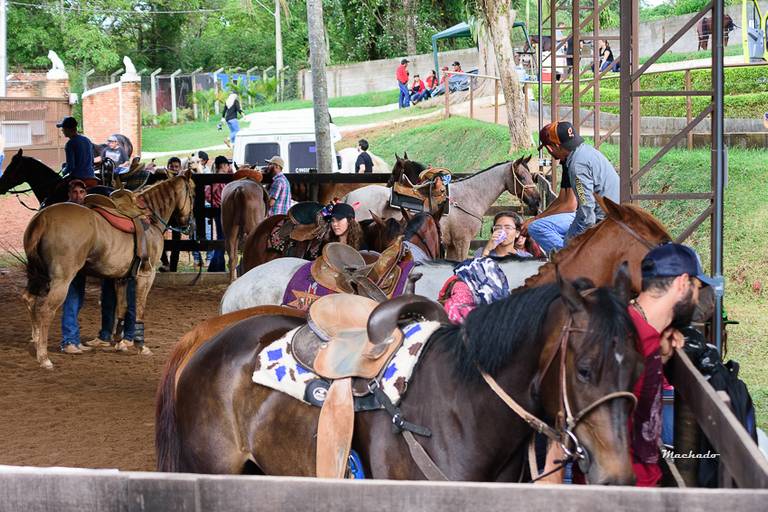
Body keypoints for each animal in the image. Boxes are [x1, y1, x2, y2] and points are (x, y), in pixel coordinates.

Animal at [22, 173, 195, 369]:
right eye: (193, 193)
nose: (189, 224)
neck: (151, 220)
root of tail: (42, 218)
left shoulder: (121, 278)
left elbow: (122, 309)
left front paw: (120, 342)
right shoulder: (146, 275)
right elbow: (139, 308)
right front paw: (140, 345)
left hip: (38, 275)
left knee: (29, 300)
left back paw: (36, 341)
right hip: (61, 280)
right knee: (45, 310)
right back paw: (44, 357)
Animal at [345, 156, 541, 260]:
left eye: (530, 175)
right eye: (521, 177)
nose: (537, 200)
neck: (469, 196)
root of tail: (350, 196)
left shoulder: (452, 244)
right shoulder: (462, 242)